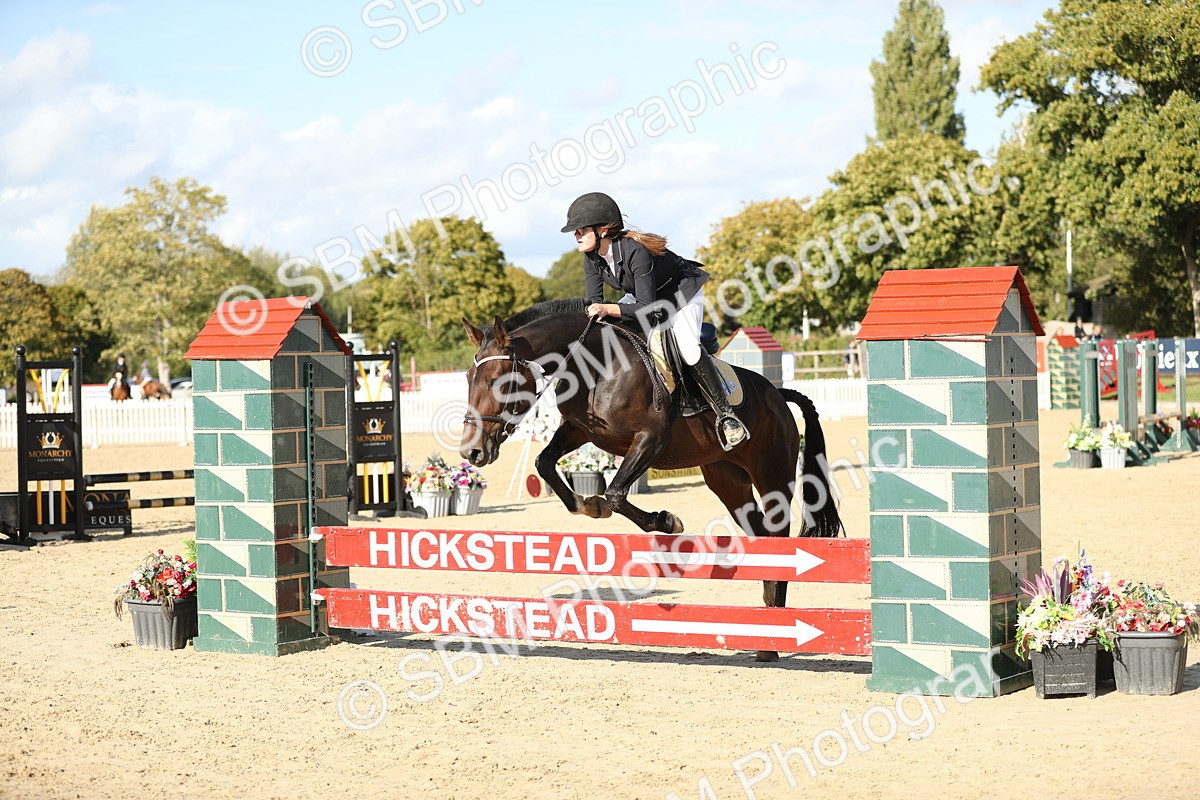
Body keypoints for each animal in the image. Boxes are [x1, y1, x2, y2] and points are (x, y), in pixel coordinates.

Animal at [459, 298, 843, 662]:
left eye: (498, 381)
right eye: (467, 377)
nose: (472, 452)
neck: (594, 365)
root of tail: (778, 394)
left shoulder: (650, 439)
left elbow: (615, 493)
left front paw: (665, 521)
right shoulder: (580, 431)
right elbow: (545, 463)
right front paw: (586, 505)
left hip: (772, 474)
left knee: (779, 537)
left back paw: (774, 635)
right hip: (728, 482)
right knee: (762, 537)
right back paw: (768, 635)